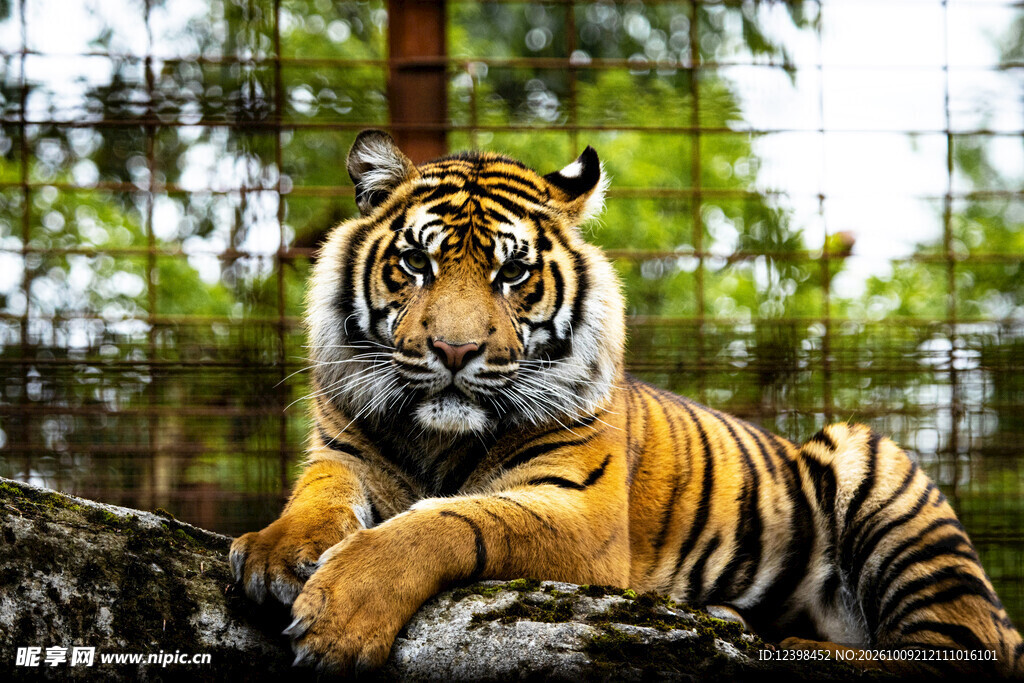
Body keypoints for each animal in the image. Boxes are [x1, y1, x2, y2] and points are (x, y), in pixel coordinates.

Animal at [229, 129, 1024, 678]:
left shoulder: (579, 511)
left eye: (512, 273)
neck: (439, 438)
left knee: (953, 652)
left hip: (877, 468)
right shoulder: (344, 451)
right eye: (415, 263)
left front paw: (341, 613)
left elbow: (447, 522)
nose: (455, 351)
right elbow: (318, 495)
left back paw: (787, 643)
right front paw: (276, 551)